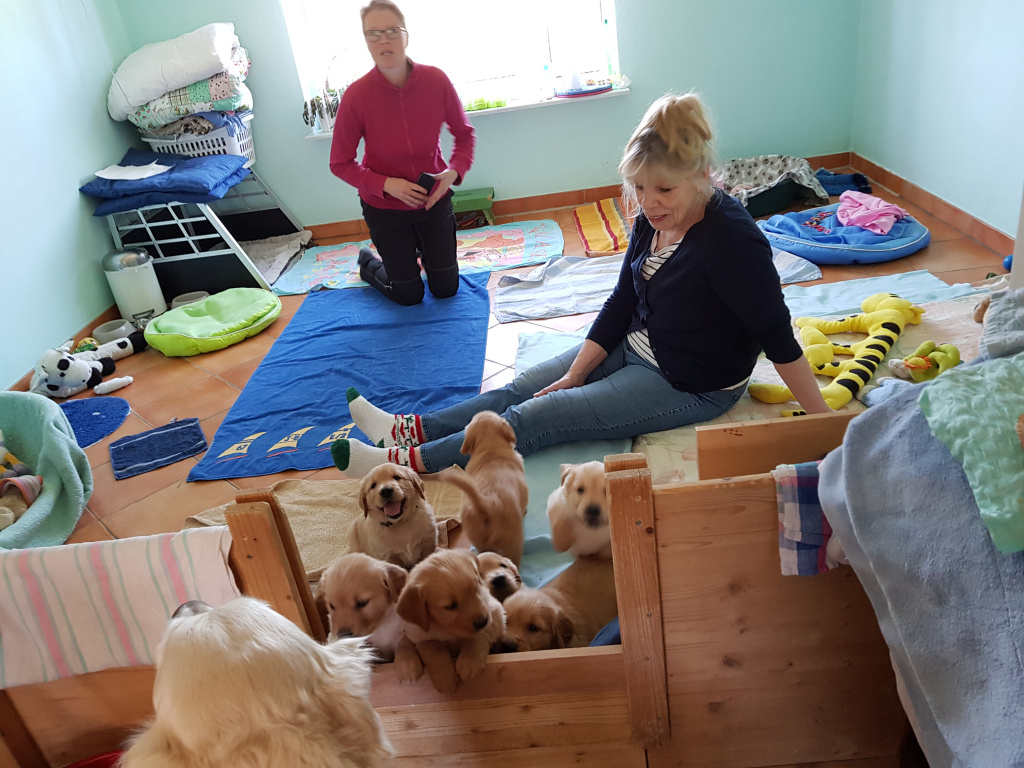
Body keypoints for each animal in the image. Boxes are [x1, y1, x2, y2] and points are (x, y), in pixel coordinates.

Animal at [393, 548, 506, 694]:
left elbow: (477, 635)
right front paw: (445, 678)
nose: (483, 621)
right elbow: (432, 647)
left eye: (476, 589)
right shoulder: (419, 635)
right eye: (450, 606)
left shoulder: (495, 612)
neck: (447, 629)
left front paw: (470, 661)